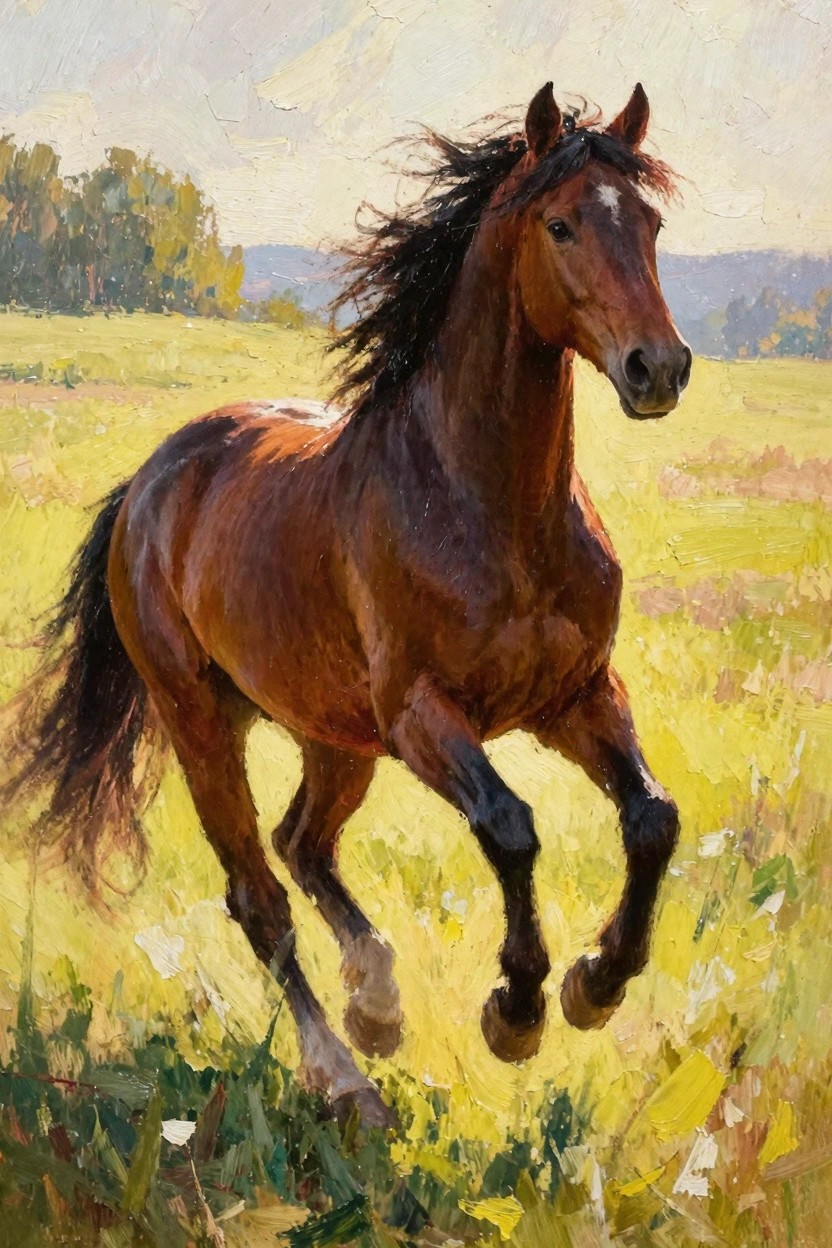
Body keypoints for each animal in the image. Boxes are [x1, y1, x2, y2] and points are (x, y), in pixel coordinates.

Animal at [4, 83, 691, 1128]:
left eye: (649, 222)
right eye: (562, 224)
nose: (660, 368)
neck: (486, 505)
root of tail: (150, 482)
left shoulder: (575, 696)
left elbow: (652, 819)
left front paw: (595, 984)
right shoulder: (423, 718)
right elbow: (511, 827)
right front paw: (517, 1010)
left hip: (333, 734)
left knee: (303, 843)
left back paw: (377, 1001)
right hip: (202, 722)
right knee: (259, 895)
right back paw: (347, 1076)